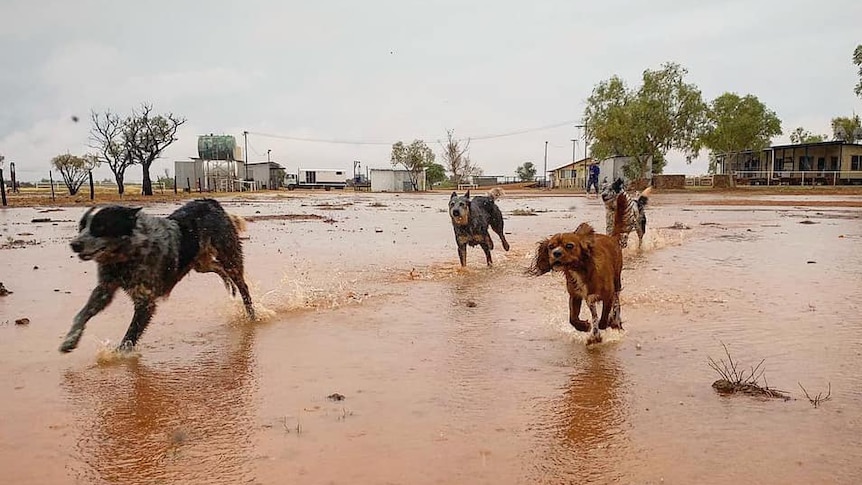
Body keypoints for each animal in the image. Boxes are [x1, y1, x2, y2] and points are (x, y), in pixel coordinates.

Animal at [60, 199, 256, 354]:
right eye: (81, 226)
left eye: (100, 226)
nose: (74, 244)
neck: (124, 257)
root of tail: (211, 202)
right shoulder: (104, 290)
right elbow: (82, 314)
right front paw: (70, 340)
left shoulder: (145, 302)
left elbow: (130, 337)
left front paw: (118, 357)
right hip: (201, 264)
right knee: (218, 268)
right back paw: (228, 285)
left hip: (229, 257)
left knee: (243, 286)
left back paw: (252, 315)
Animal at [528, 193, 632, 344]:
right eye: (551, 247)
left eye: (569, 246)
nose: (556, 253)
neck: (580, 270)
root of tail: (611, 237)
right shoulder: (576, 296)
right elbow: (573, 319)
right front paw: (584, 327)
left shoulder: (607, 295)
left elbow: (603, 317)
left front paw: (604, 325)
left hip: (617, 281)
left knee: (616, 303)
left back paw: (615, 322)